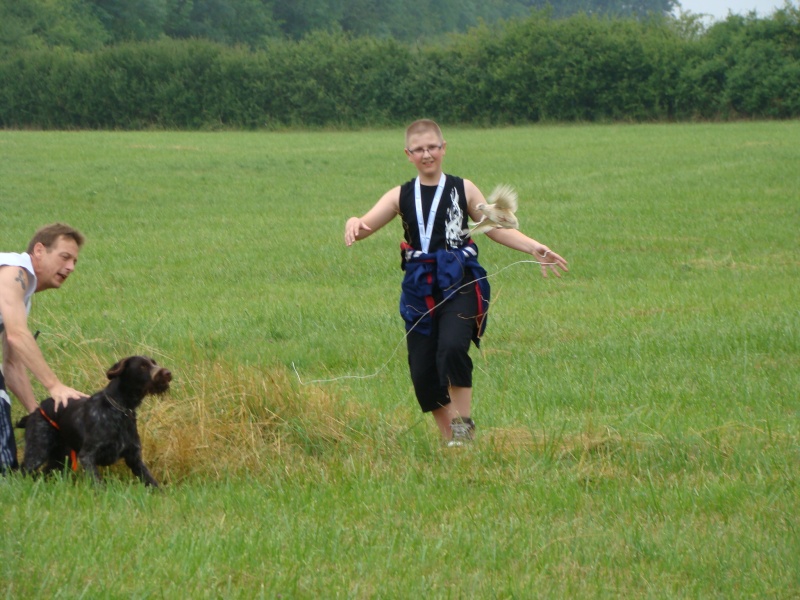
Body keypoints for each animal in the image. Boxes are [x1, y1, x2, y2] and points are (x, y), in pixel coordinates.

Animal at [18, 356, 172, 488]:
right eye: (143, 366)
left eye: (154, 362)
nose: (167, 373)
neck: (120, 409)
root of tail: (36, 411)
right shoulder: (88, 456)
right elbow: (97, 483)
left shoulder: (134, 457)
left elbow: (150, 480)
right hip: (38, 450)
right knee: (22, 472)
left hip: (61, 457)